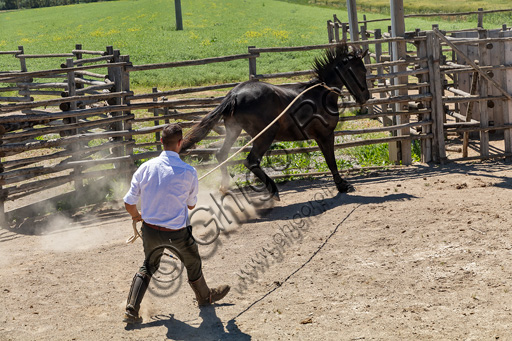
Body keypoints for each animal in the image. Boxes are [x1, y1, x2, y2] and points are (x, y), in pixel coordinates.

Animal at [182, 42, 370, 199]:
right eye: (362, 71)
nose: (366, 97)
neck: (320, 95)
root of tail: (234, 95)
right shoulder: (325, 135)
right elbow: (331, 161)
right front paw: (343, 186)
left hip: (234, 129)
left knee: (222, 154)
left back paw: (225, 187)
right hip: (265, 135)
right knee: (251, 161)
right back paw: (273, 190)